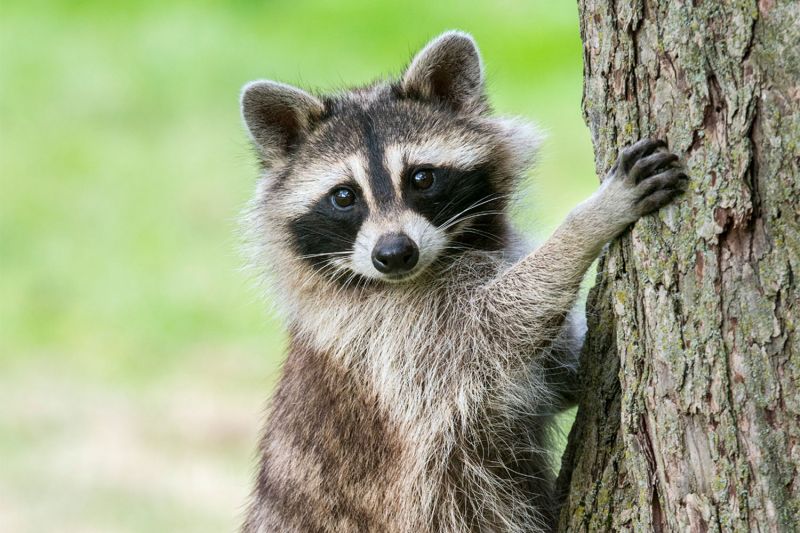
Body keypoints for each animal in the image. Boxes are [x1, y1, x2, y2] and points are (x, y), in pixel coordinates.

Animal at [238, 30, 688, 532]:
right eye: (343, 196)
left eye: (421, 178)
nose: (394, 254)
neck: (440, 259)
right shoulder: (389, 338)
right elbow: (497, 326)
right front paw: (588, 222)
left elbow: (558, 377)